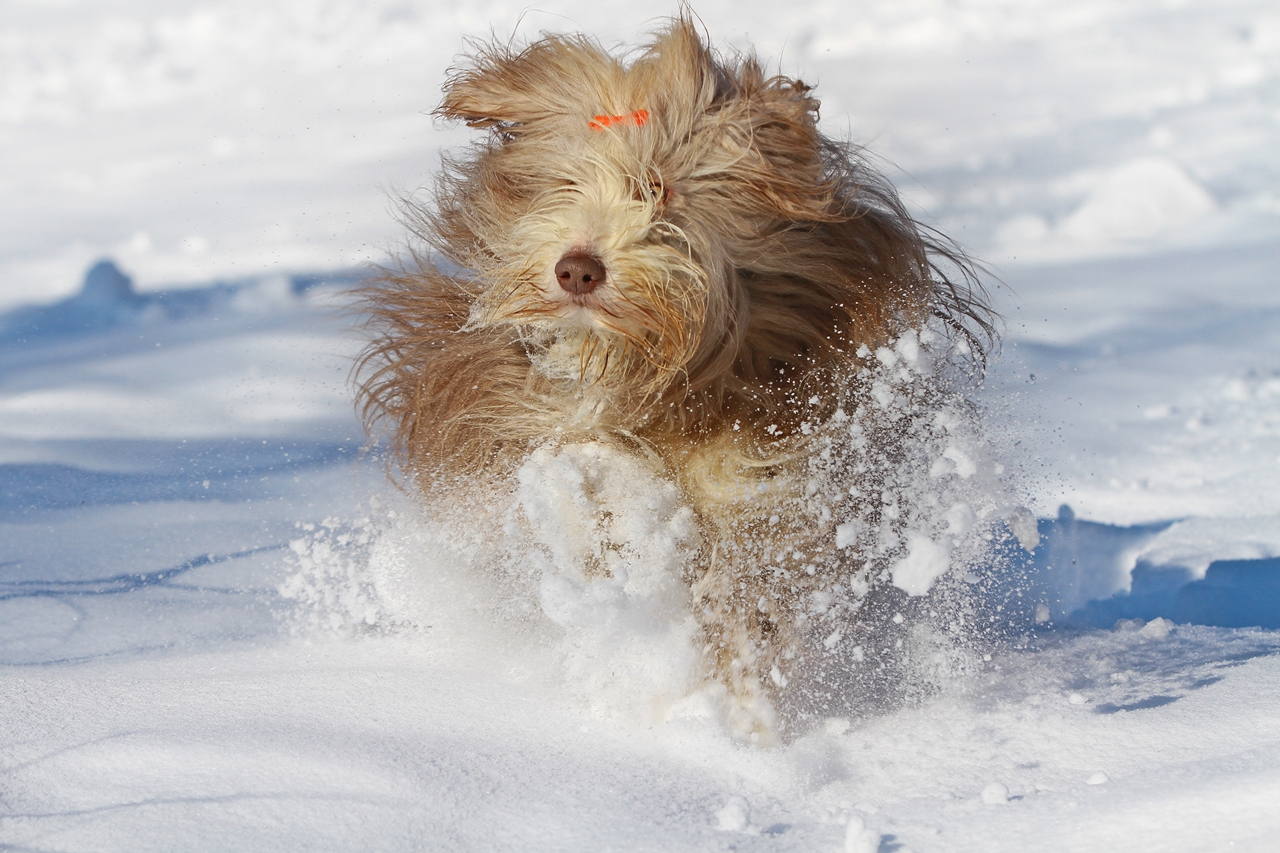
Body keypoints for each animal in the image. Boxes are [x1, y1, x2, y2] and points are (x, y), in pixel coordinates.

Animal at [355, 16, 993, 742]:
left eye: (660, 189)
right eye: (566, 183)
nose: (577, 268)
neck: (653, 375)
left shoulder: (776, 472)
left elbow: (747, 575)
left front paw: (740, 697)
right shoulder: (508, 410)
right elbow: (573, 469)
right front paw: (601, 511)